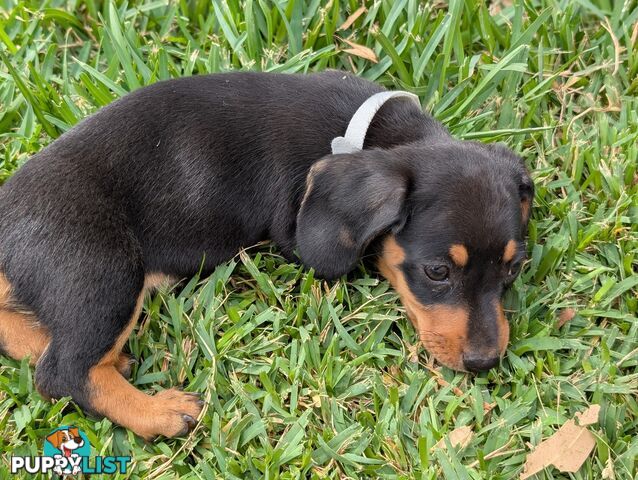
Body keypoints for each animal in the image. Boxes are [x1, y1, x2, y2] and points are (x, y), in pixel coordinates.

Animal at [0, 71, 536, 438]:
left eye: (514, 267)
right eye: (437, 271)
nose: (485, 363)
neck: (365, 135)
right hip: (103, 271)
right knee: (62, 372)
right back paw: (161, 412)